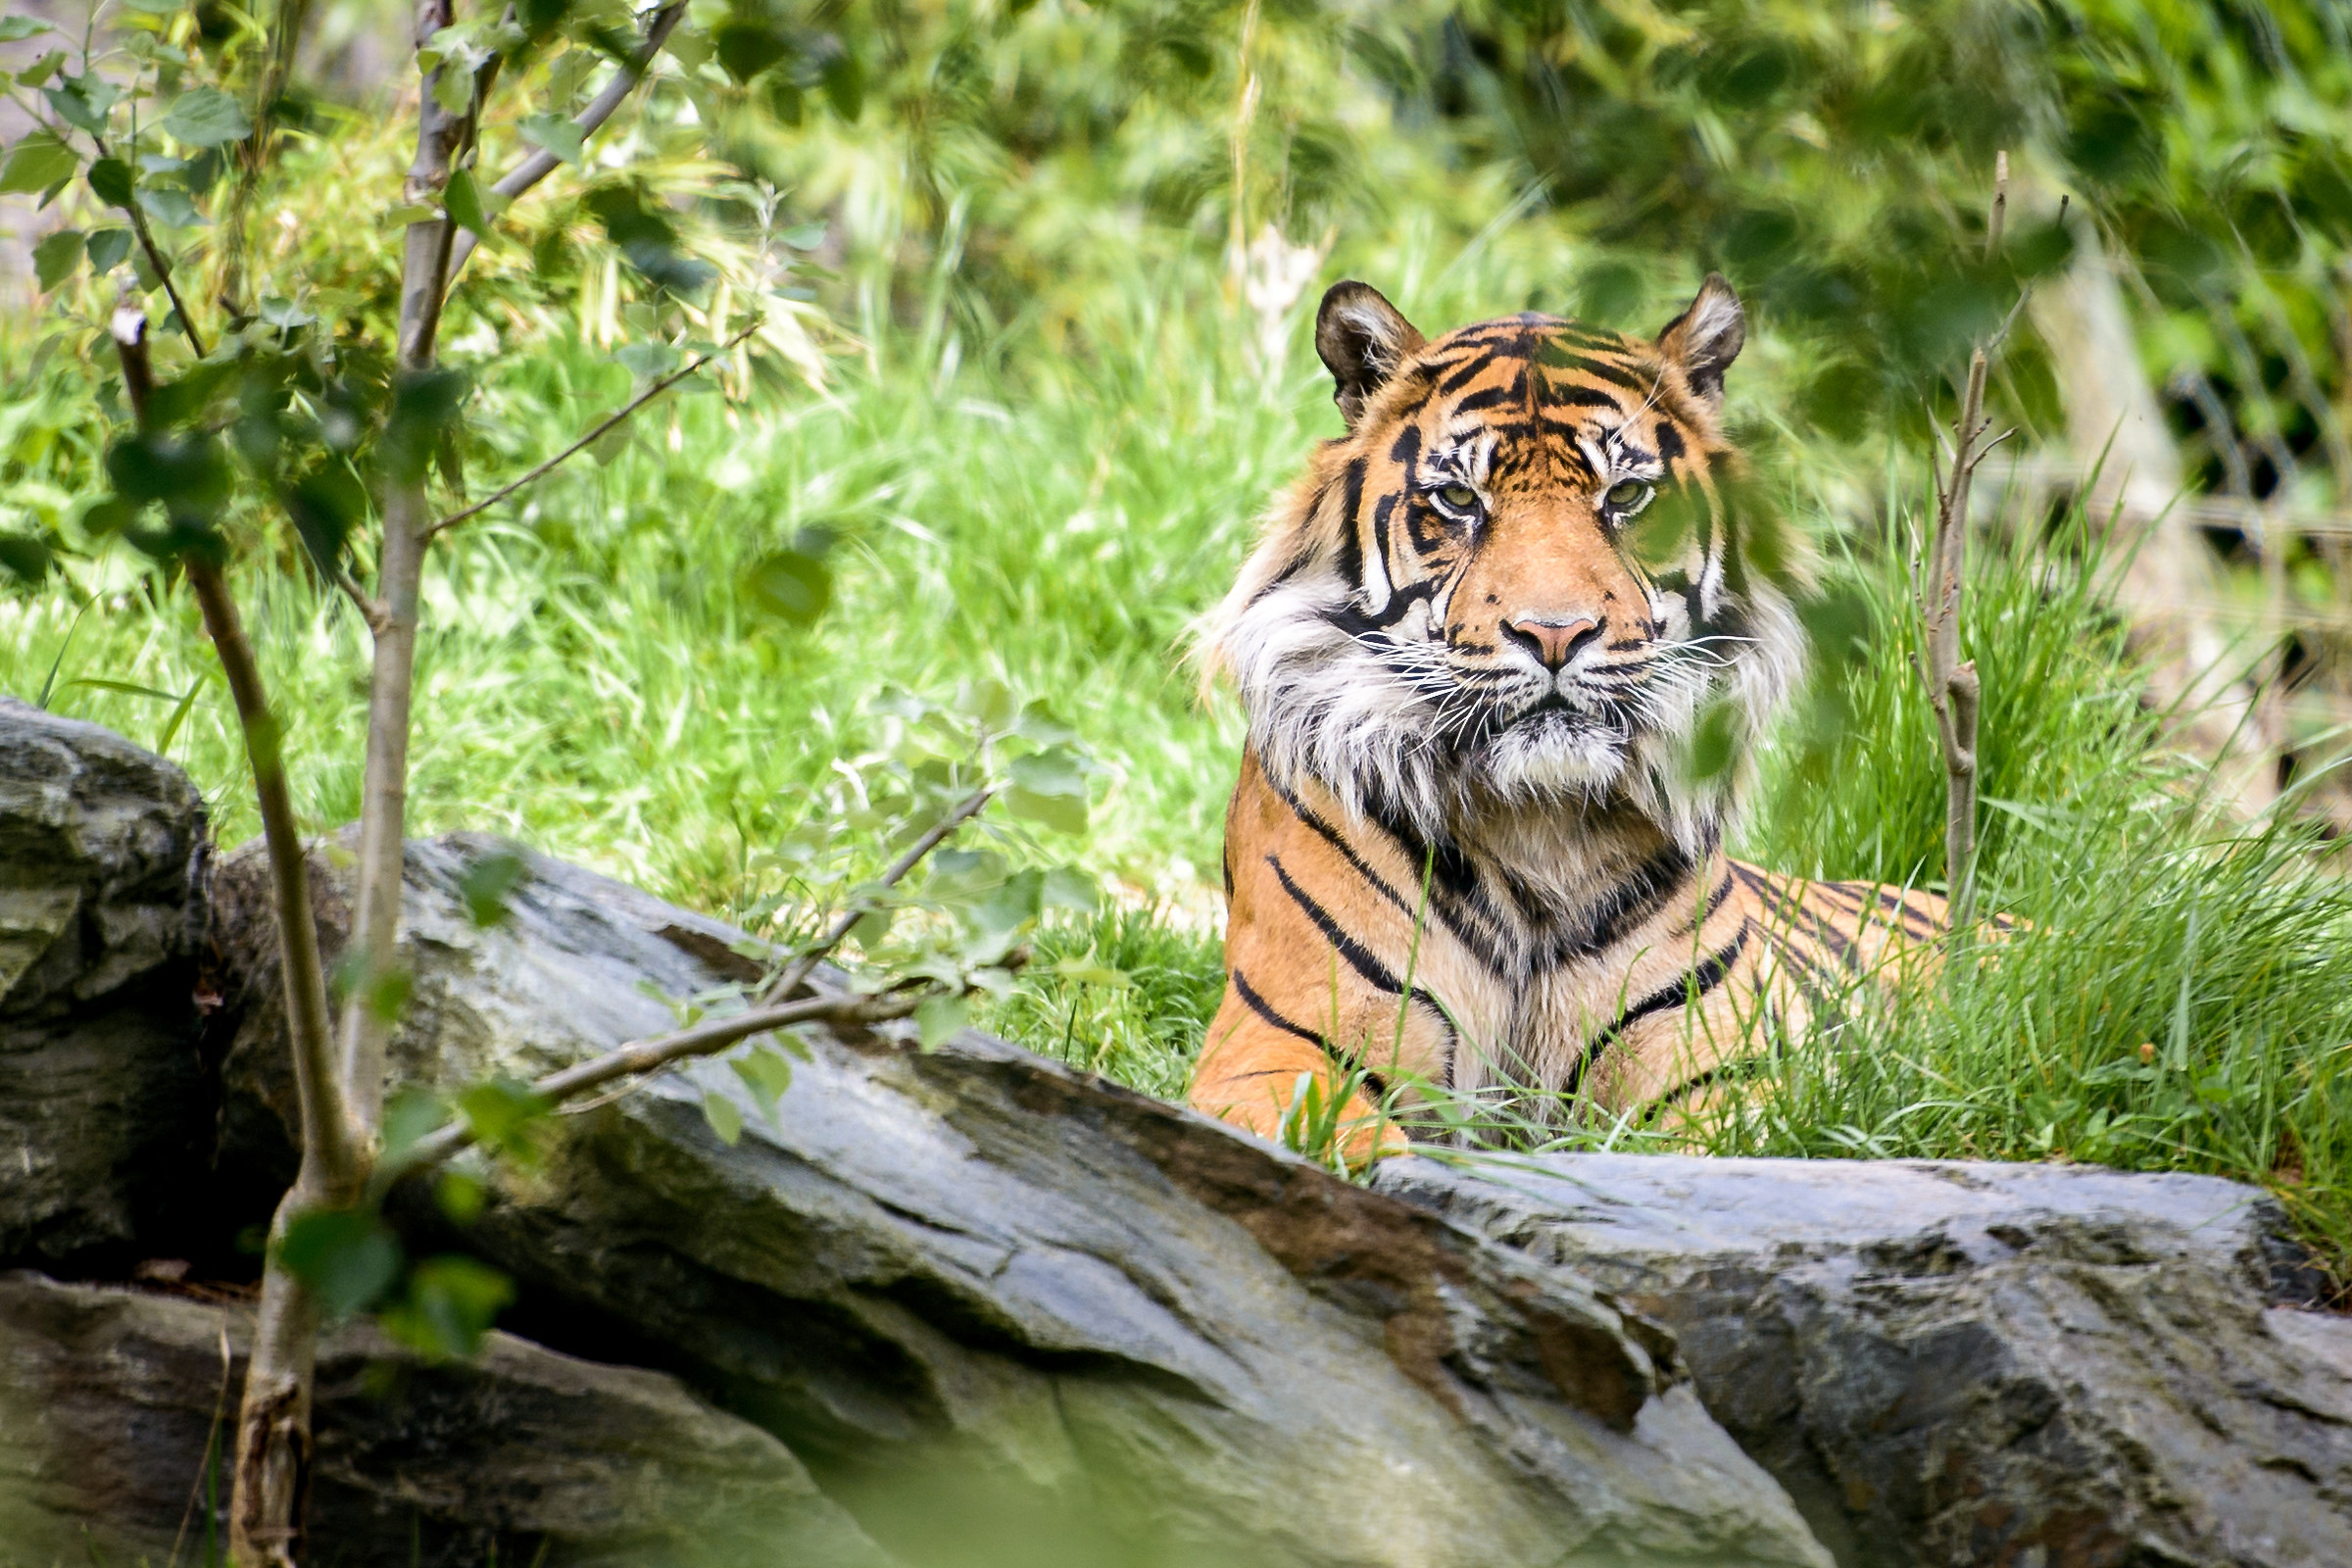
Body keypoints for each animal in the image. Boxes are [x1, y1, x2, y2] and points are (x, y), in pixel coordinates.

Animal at [1187, 275, 1951, 1161]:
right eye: (1458, 499)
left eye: (1627, 496)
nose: (1555, 633)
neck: (1537, 827)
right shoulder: (1275, 1048)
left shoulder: (1724, 1081)